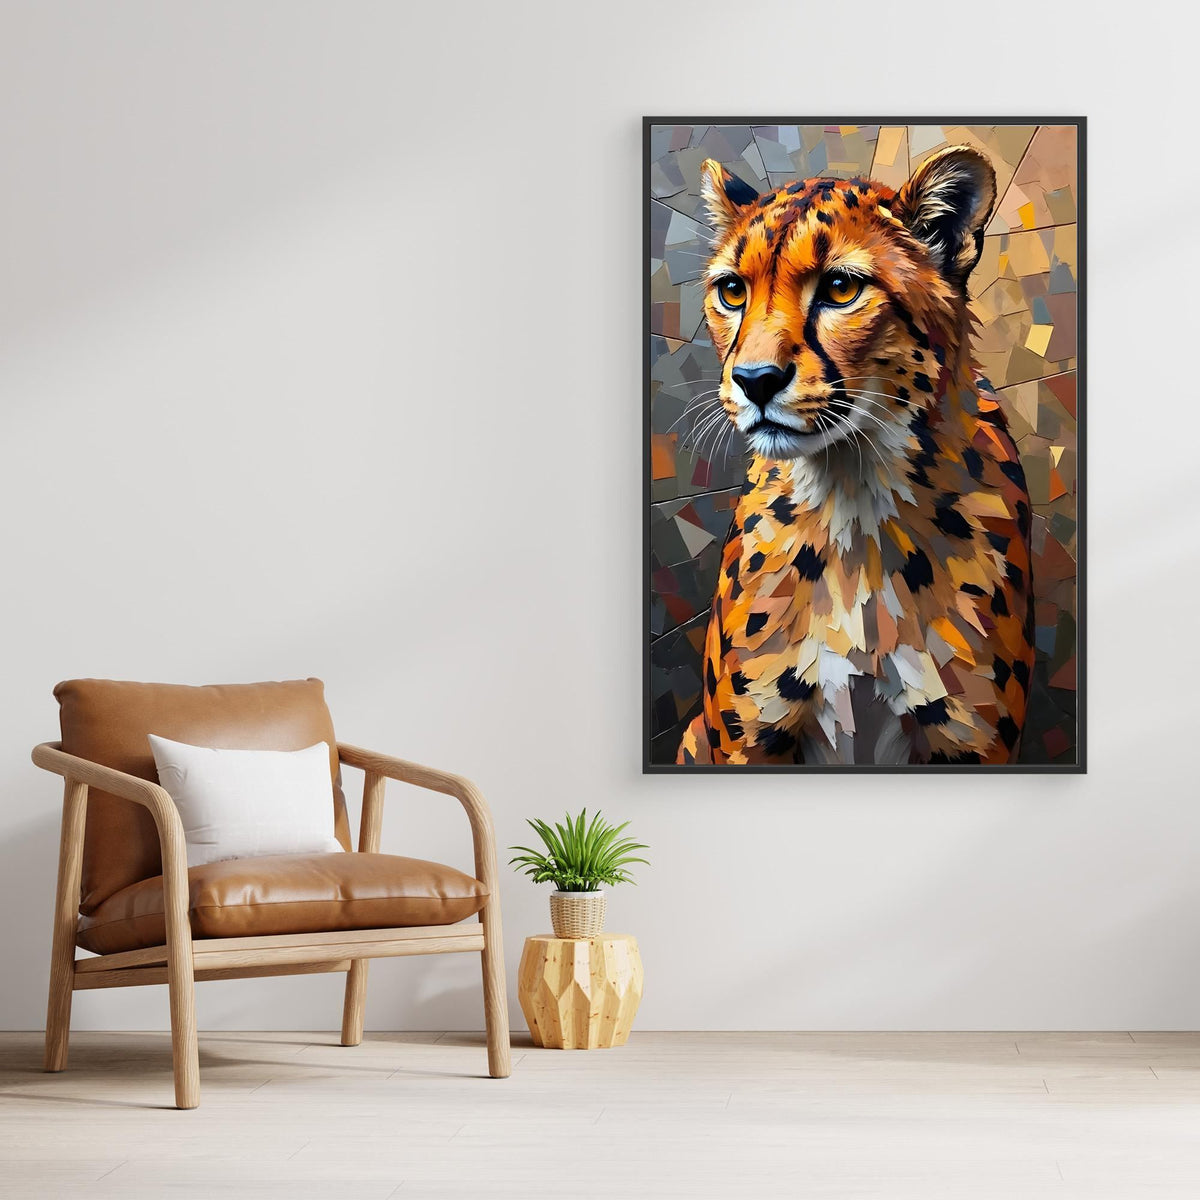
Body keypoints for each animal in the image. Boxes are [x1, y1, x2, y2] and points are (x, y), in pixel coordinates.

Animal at [676, 145, 1034, 766]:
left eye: (841, 287)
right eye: (733, 291)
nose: (755, 380)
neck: (852, 491)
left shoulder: (971, 743)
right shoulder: (748, 742)